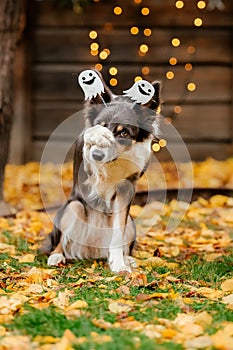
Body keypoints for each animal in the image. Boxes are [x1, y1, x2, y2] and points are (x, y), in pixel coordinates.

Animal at [41, 69, 160, 274]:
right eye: (100, 125)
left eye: (124, 133)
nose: (97, 155)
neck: (116, 160)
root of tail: (93, 250)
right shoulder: (88, 170)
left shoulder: (126, 188)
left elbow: (118, 233)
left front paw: (119, 264)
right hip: (73, 207)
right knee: (62, 242)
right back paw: (57, 256)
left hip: (131, 222)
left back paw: (126, 259)